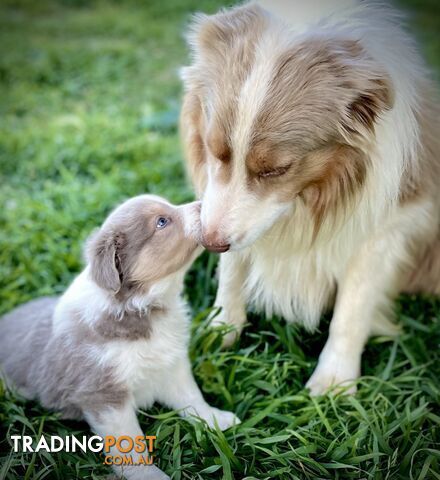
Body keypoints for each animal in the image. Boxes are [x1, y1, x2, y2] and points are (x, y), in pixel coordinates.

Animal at [0, 193, 241, 478]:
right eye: (162, 221)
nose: (206, 205)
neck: (140, 306)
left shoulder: (171, 365)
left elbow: (192, 396)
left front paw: (216, 418)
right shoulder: (104, 395)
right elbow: (130, 443)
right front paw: (150, 476)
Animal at [180, 0, 440, 394]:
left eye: (277, 169)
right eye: (214, 150)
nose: (209, 243)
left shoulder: (389, 223)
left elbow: (354, 303)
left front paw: (334, 382)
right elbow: (232, 269)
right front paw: (221, 328)